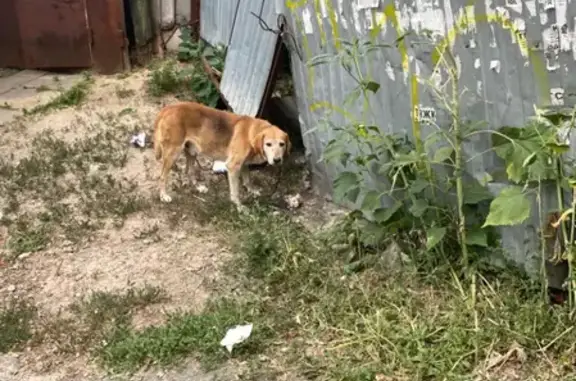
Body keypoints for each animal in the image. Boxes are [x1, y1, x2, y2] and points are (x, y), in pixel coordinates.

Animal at [152, 101, 290, 208]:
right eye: (268, 144)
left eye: (282, 144)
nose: (277, 160)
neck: (251, 133)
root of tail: (169, 108)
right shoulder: (233, 167)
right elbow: (235, 192)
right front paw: (239, 206)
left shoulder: (244, 164)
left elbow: (247, 180)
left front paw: (252, 190)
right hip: (173, 154)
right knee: (162, 177)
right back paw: (163, 195)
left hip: (192, 151)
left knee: (189, 171)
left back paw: (198, 187)